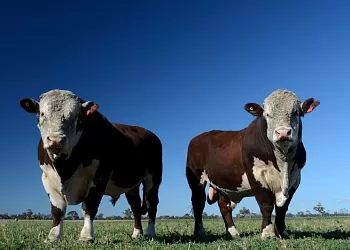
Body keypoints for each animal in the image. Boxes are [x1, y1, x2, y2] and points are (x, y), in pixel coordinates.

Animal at [18, 89, 162, 242]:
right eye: (42, 113)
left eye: (76, 116)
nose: (56, 140)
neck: (65, 168)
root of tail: (148, 133)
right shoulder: (47, 178)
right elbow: (57, 210)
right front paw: (53, 236)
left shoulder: (99, 176)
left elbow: (89, 206)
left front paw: (86, 236)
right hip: (131, 185)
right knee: (135, 206)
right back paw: (137, 234)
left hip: (153, 178)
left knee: (152, 204)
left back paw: (150, 233)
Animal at [186, 89, 320, 239]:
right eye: (267, 114)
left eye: (297, 112)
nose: (283, 132)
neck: (283, 162)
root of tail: (198, 138)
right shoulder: (256, 175)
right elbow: (266, 204)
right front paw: (267, 233)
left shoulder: (295, 178)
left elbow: (283, 208)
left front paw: (282, 232)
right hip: (196, 179)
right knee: (198, 203)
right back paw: (199, 231)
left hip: (222, 182)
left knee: (223, 205)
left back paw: (232, 232)